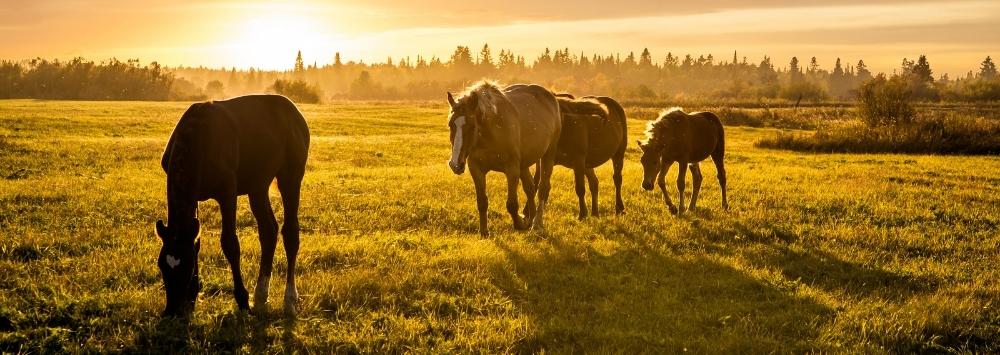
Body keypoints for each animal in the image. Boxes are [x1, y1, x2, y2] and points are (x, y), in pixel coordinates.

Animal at [152, 94, 306, 318]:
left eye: (186, 267)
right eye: (162, 265)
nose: (172, 311)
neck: (199, 137)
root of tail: (293, 111)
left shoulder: (227, 192)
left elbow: (230, 243)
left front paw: (242, 300)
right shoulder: (194, 198)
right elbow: (196, 242)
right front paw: (192, 298)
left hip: (290, 176)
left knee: (291, 233)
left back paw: (289, 300)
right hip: (258, 185)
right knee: (268, 230)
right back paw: (261, 294)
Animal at [448, 81, 564, 236]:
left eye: (472, 126)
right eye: (450, 125)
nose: (455, 164)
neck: (490, 133)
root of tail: (550, 97)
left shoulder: (512, 169)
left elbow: (512, 204)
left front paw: (520, 223)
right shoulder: (476, 169)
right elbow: (482, 202)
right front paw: (484, 232)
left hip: (548, 155)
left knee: (543, 189)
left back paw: (536, 223)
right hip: (524, 164)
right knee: (530, 188)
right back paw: (530, 217)